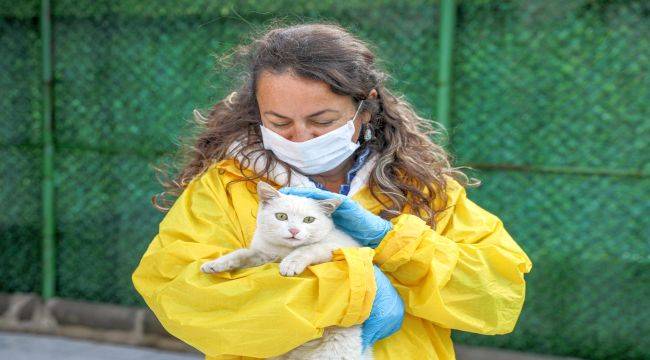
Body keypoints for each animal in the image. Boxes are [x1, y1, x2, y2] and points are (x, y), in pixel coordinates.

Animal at [199, 181, 370, 358]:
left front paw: (290, 264)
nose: (294, 230)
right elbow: (242, 253)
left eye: (309, 220)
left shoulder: (336, 247)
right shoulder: (263, 255)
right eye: (281, 216)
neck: (284, 250)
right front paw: (216, 264)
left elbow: (307, 248)